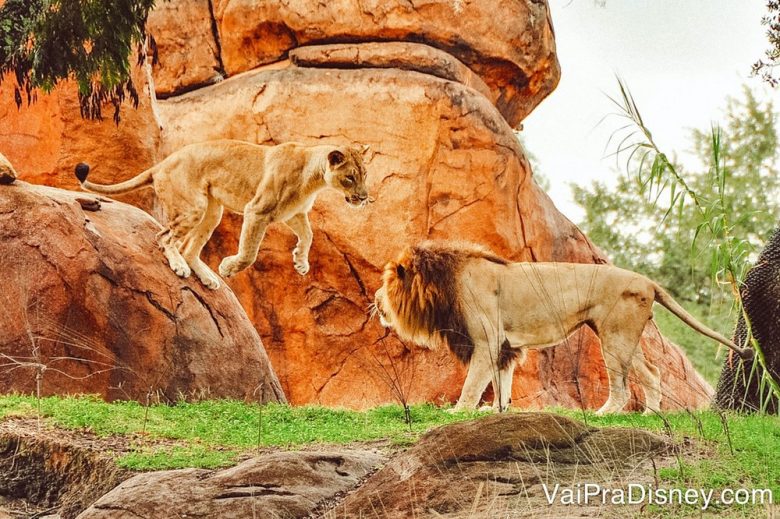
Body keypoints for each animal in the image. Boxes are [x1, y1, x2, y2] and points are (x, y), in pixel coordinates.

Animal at [74, 140, 370, 290]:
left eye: (365, 175)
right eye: (350, 178)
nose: (364, 197)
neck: (313, 177)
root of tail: (161, 164)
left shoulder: (293, 214)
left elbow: (309, 235)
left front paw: (300, 262)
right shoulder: (257, 210)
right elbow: (249, 253)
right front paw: (229, 267)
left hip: (211, 211)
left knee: (187, 247)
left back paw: (206, 277)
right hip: (193, 207)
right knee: (164, 237)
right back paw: (180, 267)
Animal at [374, 242, 752, 416]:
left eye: (387, 282)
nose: (375, 299)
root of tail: (646, 280)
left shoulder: (486, 340)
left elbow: (474, 382)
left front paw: (459, 411)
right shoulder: (504, 346)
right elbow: (501, 382)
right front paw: (497, 411)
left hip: (613, 337)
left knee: (621, 385)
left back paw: (605, 414)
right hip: (622, 336)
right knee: (652, 372)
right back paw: (650, 414)